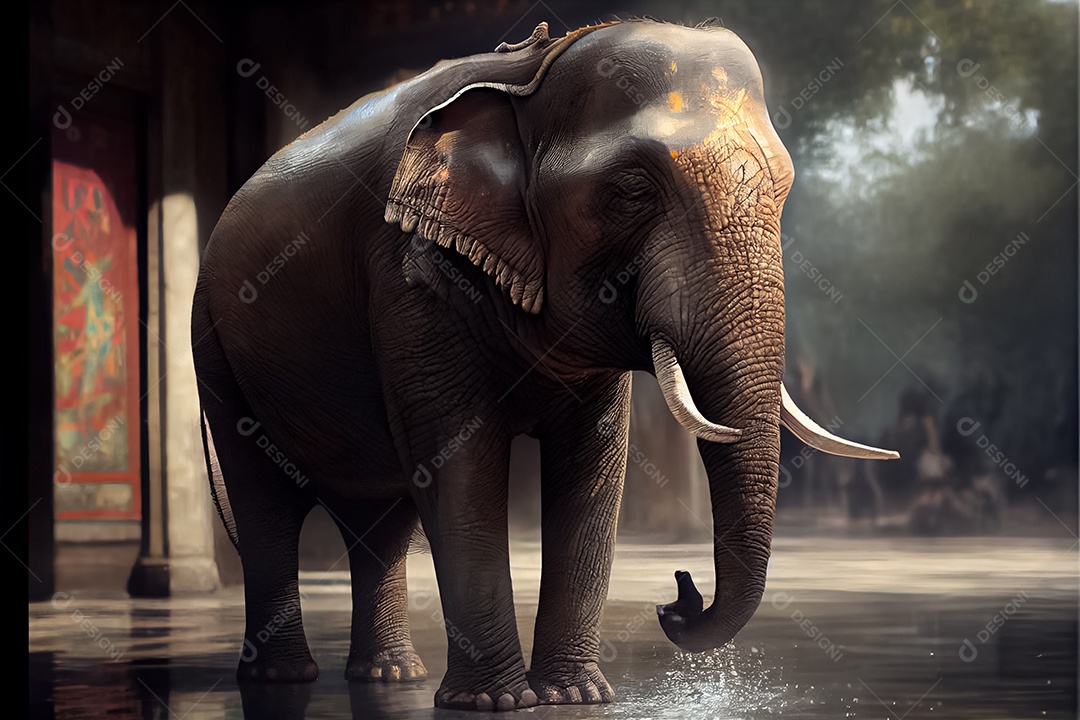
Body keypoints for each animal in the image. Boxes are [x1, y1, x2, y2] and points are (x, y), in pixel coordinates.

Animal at [192, 18, 898, 712]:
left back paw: (390, 676)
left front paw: (574, 695)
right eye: (631, 191)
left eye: (784, 190)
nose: (677, 596)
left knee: (381, 519)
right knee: (264, 499)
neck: (532, 76)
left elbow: (591, 466)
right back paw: (284, 679)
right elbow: (461, 464)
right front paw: (494, 703)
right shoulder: (410, 276)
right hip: (213, 346)